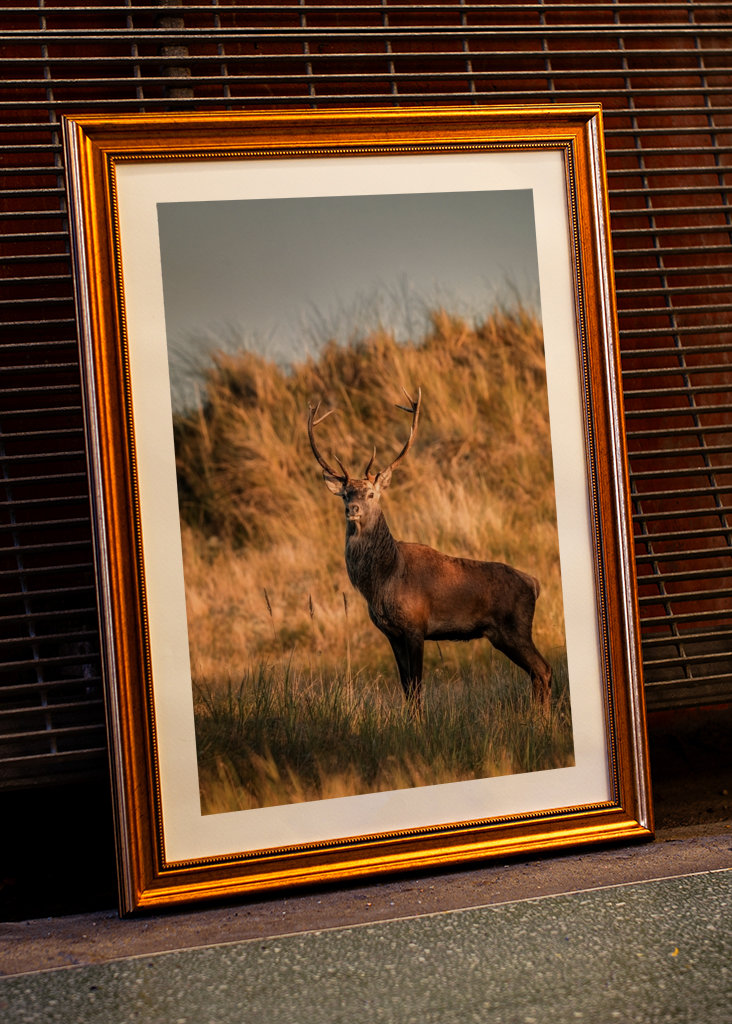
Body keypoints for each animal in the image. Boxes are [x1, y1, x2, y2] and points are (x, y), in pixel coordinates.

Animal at [307, 388, 553, 715]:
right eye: (346, 494)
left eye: (371, 493)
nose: (353, 509)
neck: (382, 581)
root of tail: (535, 584)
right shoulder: (391, 633)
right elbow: (406, 688)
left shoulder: (416, 625)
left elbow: (417, 686)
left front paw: (420, 722)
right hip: (504, 634)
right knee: (537, 672)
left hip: (515, 626)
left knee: (544, 669)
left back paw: (542, 719)